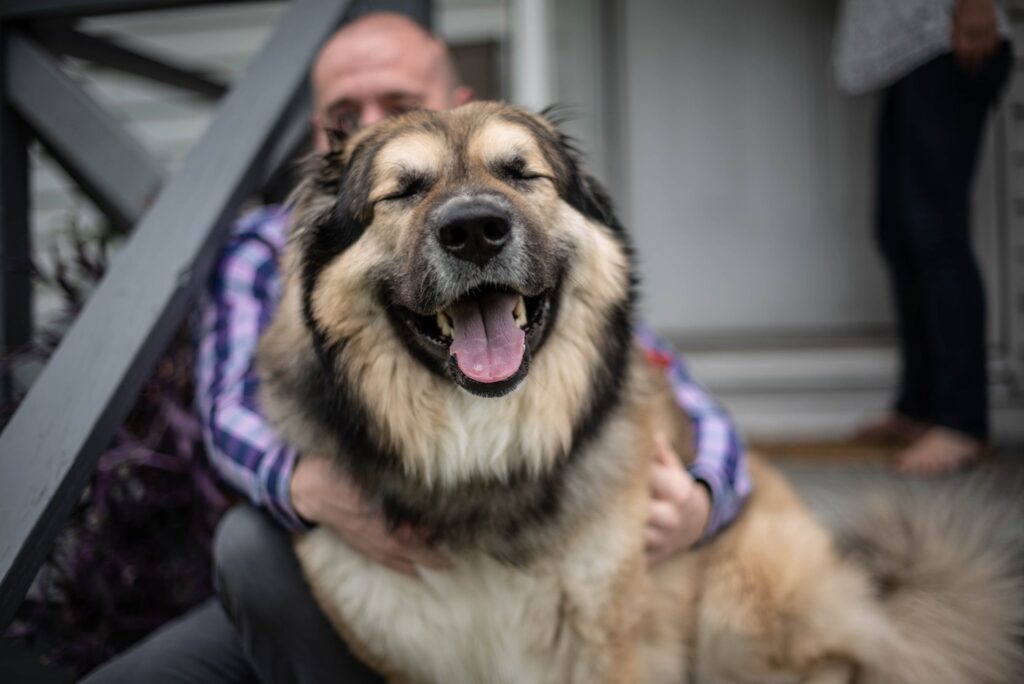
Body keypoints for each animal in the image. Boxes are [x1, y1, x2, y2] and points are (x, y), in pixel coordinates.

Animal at [258, 102, 1024, 684]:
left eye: (520, 174)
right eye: (405, 191)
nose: (474, 230)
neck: (483, 455)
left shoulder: (609, 639)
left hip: (740, 604)